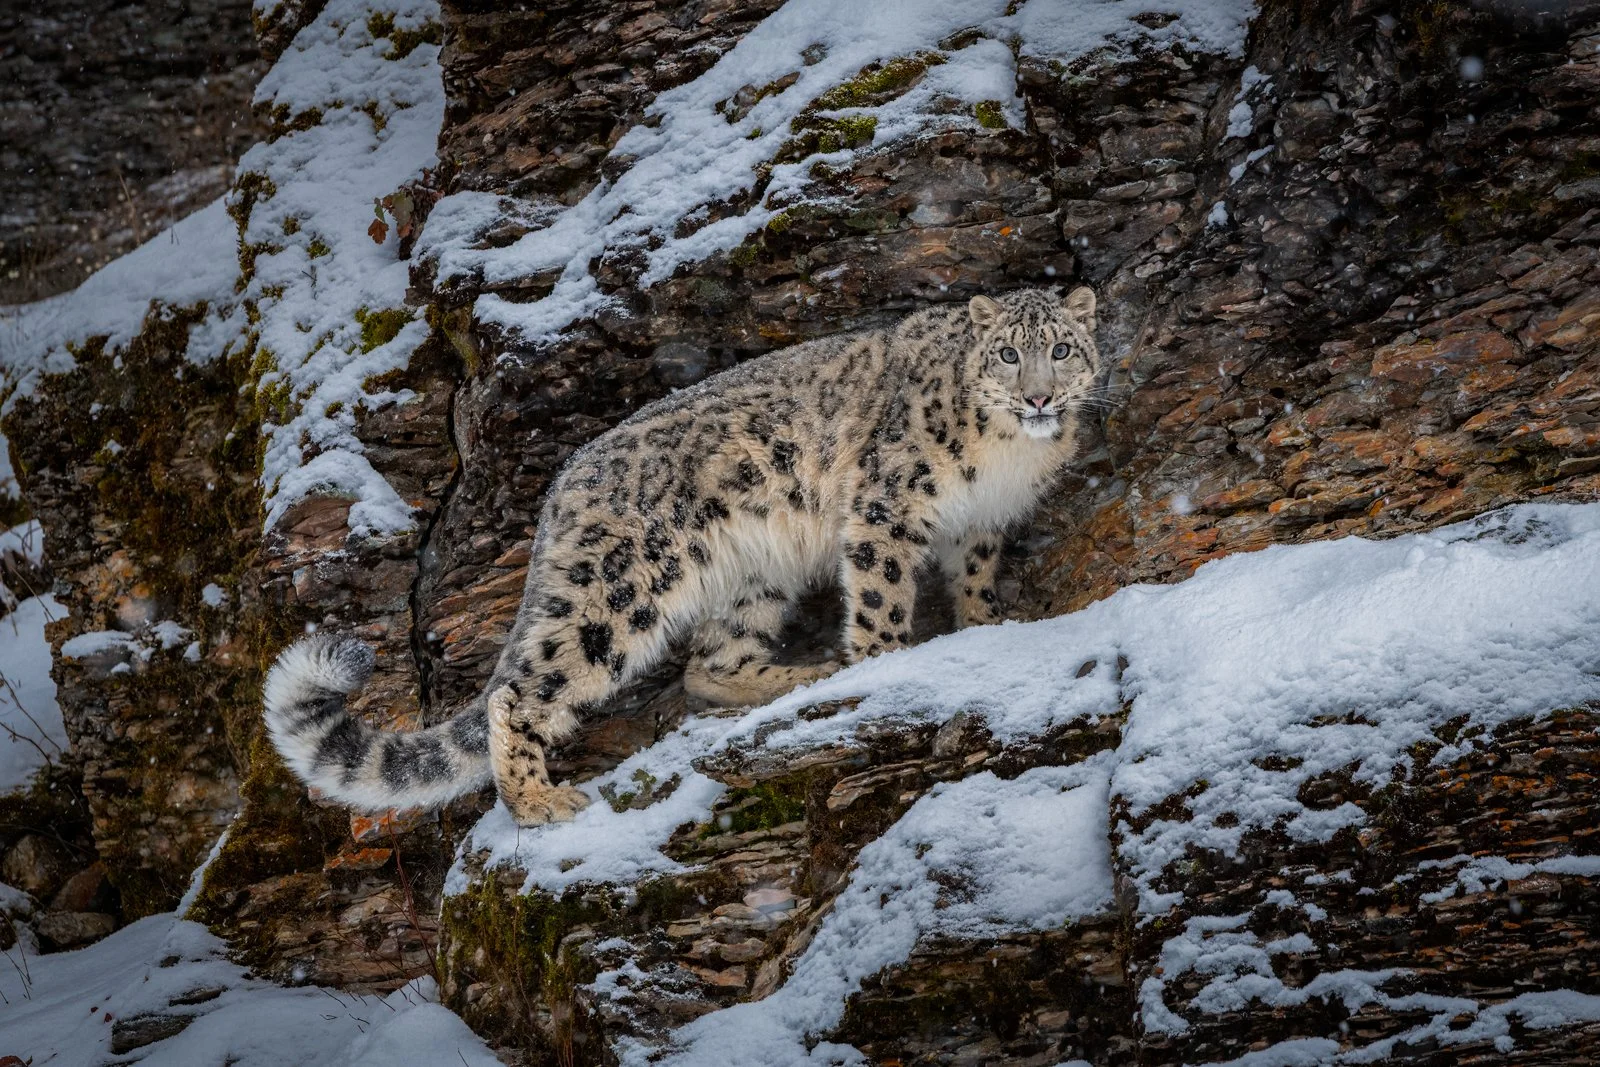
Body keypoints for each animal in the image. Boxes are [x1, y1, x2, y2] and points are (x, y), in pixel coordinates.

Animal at [263, 286, 1102, 826]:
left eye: (1062, 349)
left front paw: (985, 624)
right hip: (622, 585)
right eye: (1007, 354)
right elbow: (883, 597)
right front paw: (887, 662)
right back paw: (539, 800)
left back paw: (802, 675)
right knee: (525, 689)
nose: (1038, 398)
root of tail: (562, 488)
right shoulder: (885, 506)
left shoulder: (981, 524)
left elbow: (976, 583)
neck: (1005, 461)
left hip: (754, 574)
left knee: (711, 662)